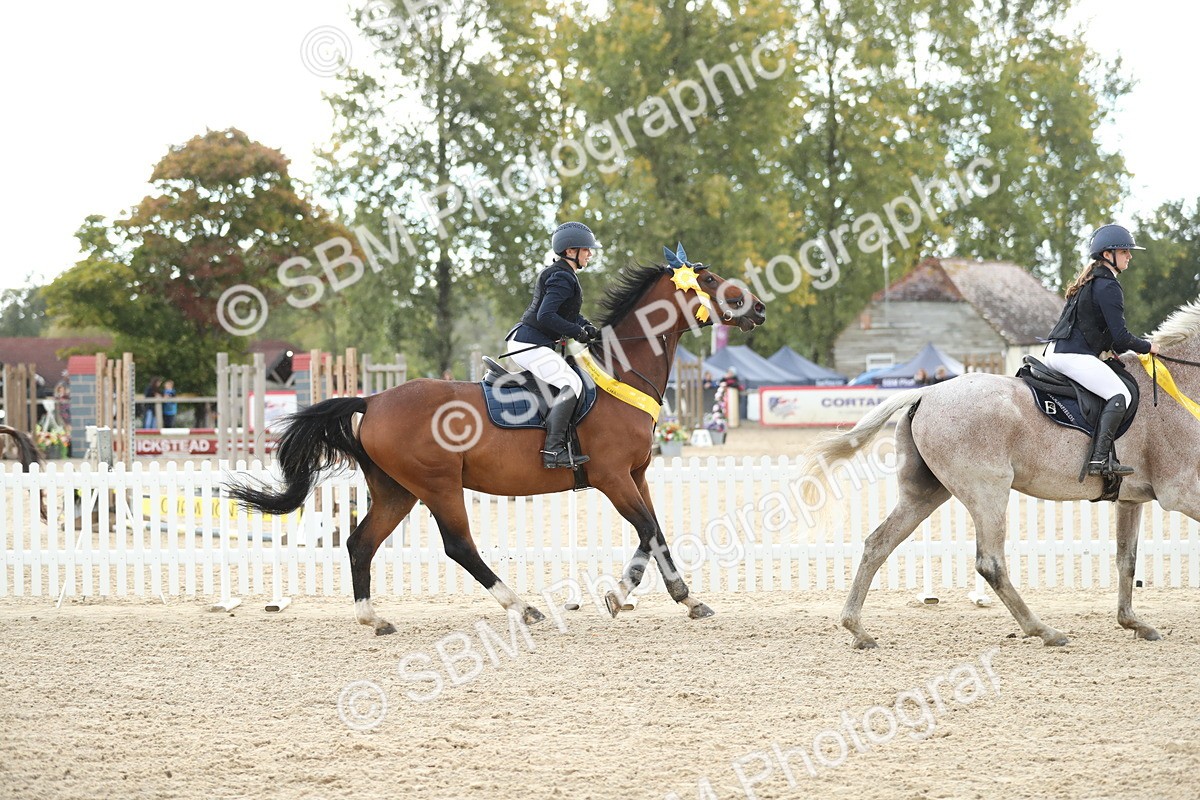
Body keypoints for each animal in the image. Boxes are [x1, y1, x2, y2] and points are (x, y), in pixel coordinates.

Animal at [228, 252, 767, 634]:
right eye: (711, 279)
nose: (757, 307)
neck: (622, 374)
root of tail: (374, 399)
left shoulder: (636, 476)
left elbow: (653, 534)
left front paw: (662, 597)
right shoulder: (613, 477)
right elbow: (649, 530)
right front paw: (640, 596)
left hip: (397, 491)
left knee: (361, 543)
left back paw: (373, 619)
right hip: (438, 485)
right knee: (459, 546)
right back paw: (524, 608)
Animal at [802, 298, 1200, 649]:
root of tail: (925, 393)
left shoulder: (1132, 499)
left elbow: (1126, 561)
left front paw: (1133, 623)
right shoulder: (1179, 492)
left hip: (924, 495)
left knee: (878, 544)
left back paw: (858, 630)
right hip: (988, 491)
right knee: (990, 563)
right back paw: (1044, 631)